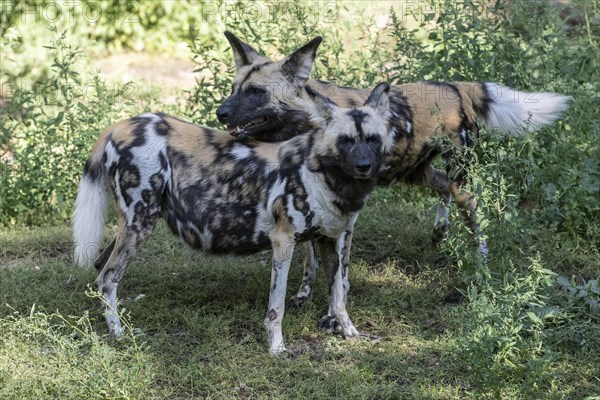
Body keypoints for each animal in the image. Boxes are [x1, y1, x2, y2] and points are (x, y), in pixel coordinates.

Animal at [72, 81, 394, 354]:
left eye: (373, 139)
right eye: (346, 140)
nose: (364, 166)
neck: (325, 175)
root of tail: (119, 125)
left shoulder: (331, 239)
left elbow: (339, 296)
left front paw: (351, 335)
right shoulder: (283, 241)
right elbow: (276, 308)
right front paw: (277, 349)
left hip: (131, 227)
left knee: (101, 270)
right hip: (140, 223)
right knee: (107, 279)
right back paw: (118, 335)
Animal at [217, 32, 572, 304]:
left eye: (257, 92)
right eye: (234, 89)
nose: (221, 113)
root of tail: (456, 86)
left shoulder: (346, 211)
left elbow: (339, 262)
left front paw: (340, 295)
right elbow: (310, 257)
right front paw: (304, 294)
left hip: (458, 172)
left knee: (472, 207)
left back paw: (479, 263)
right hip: (416, 172)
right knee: (443, 187)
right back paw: (439, 231)